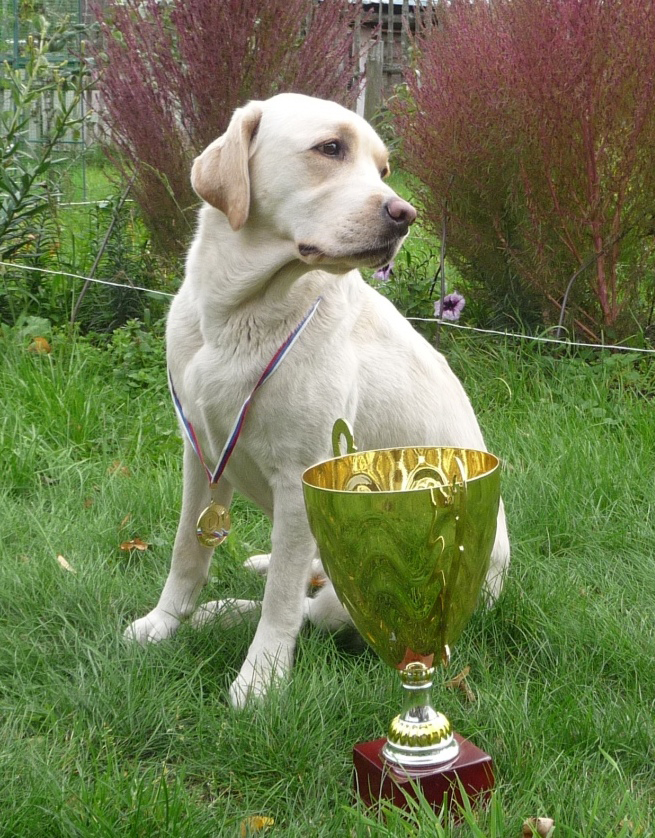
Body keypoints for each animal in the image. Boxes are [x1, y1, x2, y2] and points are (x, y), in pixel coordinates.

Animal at [125, 92, 510, 708]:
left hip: (373, 590)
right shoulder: (200, 453)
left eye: (382, 169)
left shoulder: (299, 476)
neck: (238, 315)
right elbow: (188, 550)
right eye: (331, 148)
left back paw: (228, 613)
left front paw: (260, 680)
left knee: (308, 603)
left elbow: (282, 602)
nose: (405, 215)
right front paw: (162, 623)